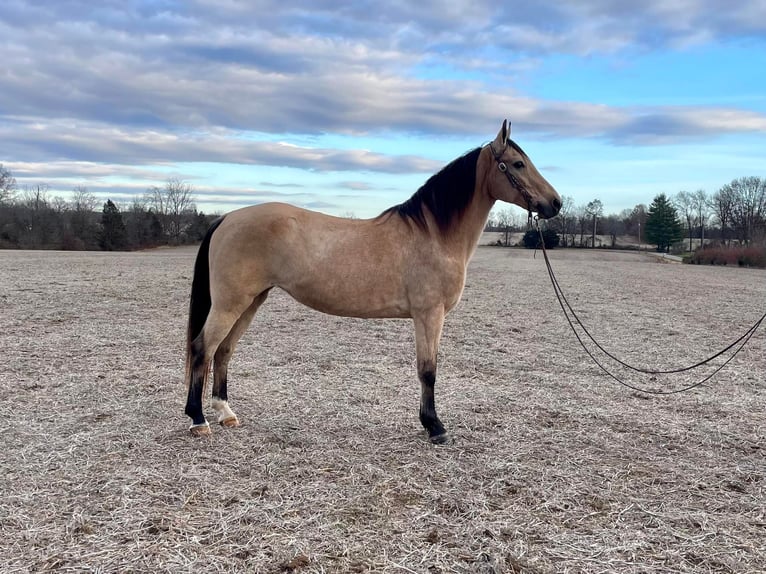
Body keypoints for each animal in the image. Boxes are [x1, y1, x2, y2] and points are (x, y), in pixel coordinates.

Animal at [183, 120, 560, 446]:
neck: (433, 234)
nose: (555, 204)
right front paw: (435, 427)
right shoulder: (429, 314)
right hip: (231, 302)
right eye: (518, 164)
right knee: (203, 348)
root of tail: (227, 217)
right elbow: (428, 370)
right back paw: (198, 420)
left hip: (251, 301)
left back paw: (225, 413)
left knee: (224, 350)